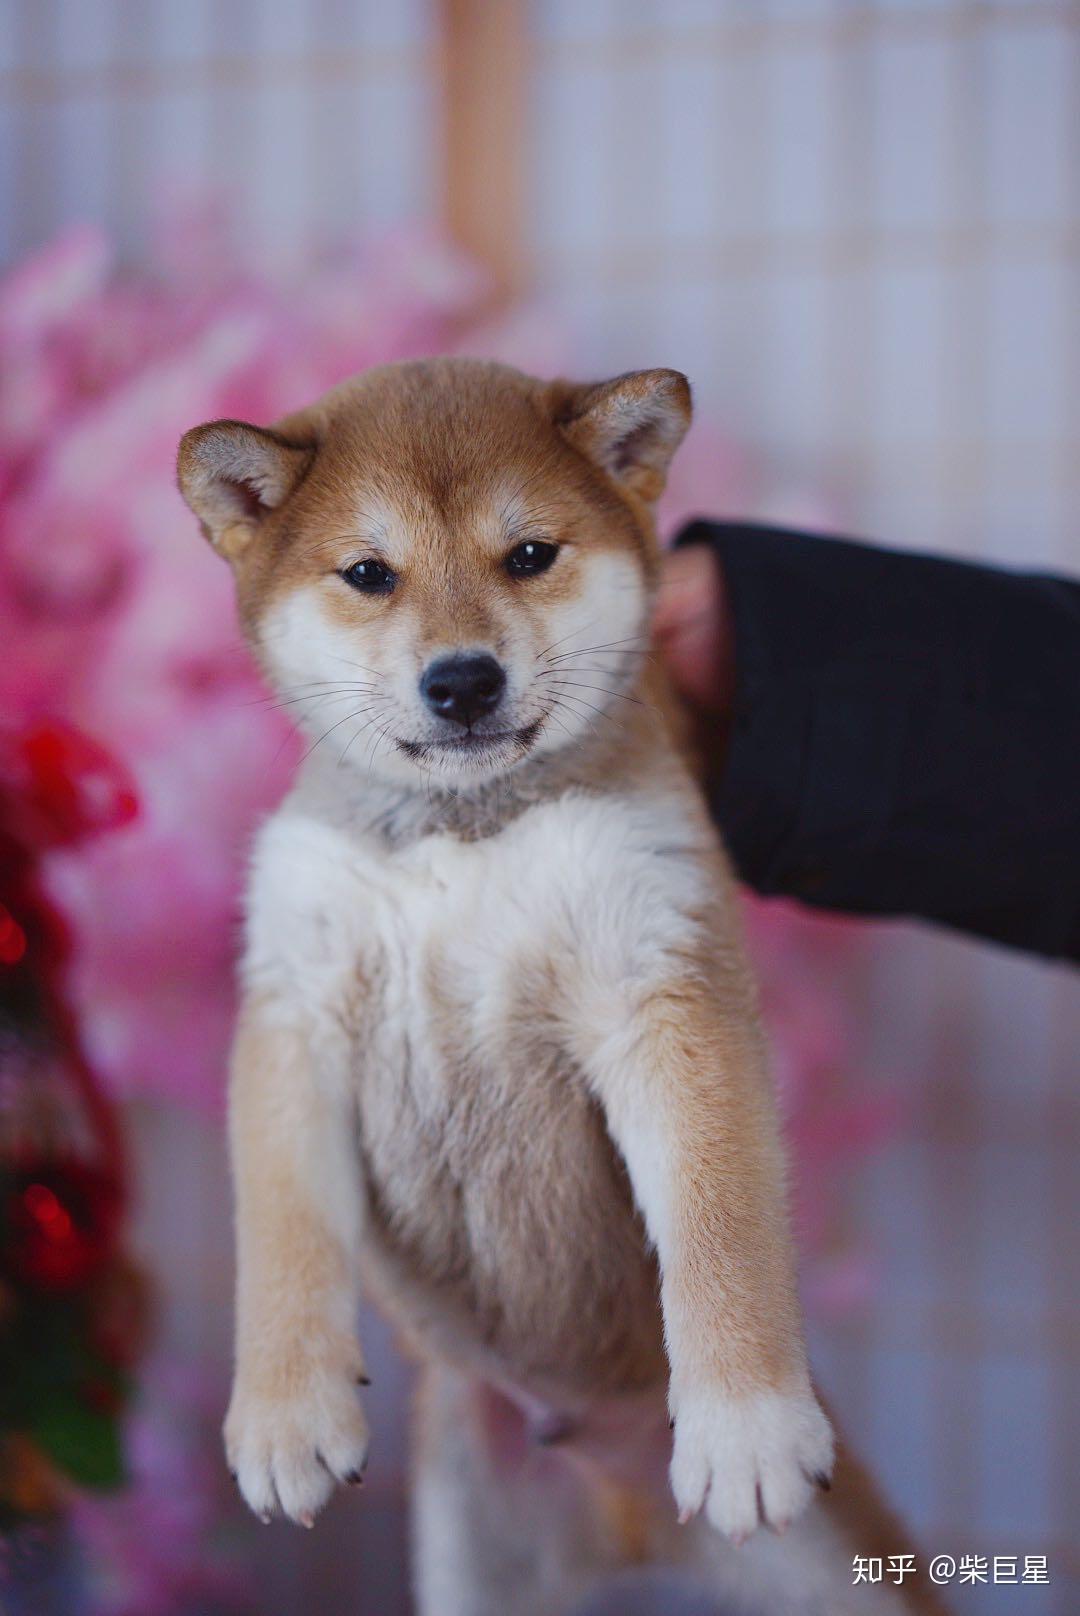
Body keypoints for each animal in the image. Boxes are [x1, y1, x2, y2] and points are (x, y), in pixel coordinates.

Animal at [181, 366, 937, 1616]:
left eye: (529, 553)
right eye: (369, 572)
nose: (462, 679)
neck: (465, 828)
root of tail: (625, 1508)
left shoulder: (661, 984)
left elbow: (719, 1218)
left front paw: (746, 1426)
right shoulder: (294, 1015)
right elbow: (280, 1232)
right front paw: (286, 1414)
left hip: (847, 1575)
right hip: (472, 1560)